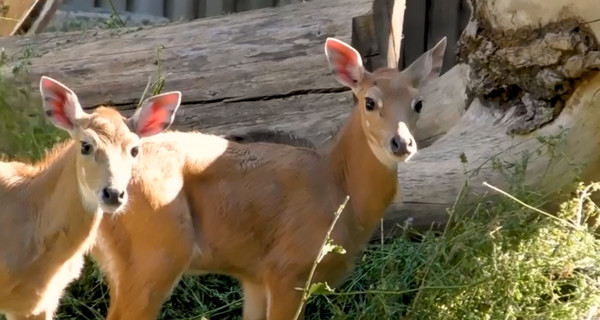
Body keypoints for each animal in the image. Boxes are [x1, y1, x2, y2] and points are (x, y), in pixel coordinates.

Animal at [92, 36, 446, 318]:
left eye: (419, 103)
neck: (337, 185)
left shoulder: (255, 275)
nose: (402, 143)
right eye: (370, 102)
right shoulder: (287, 267)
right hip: (156, 252)